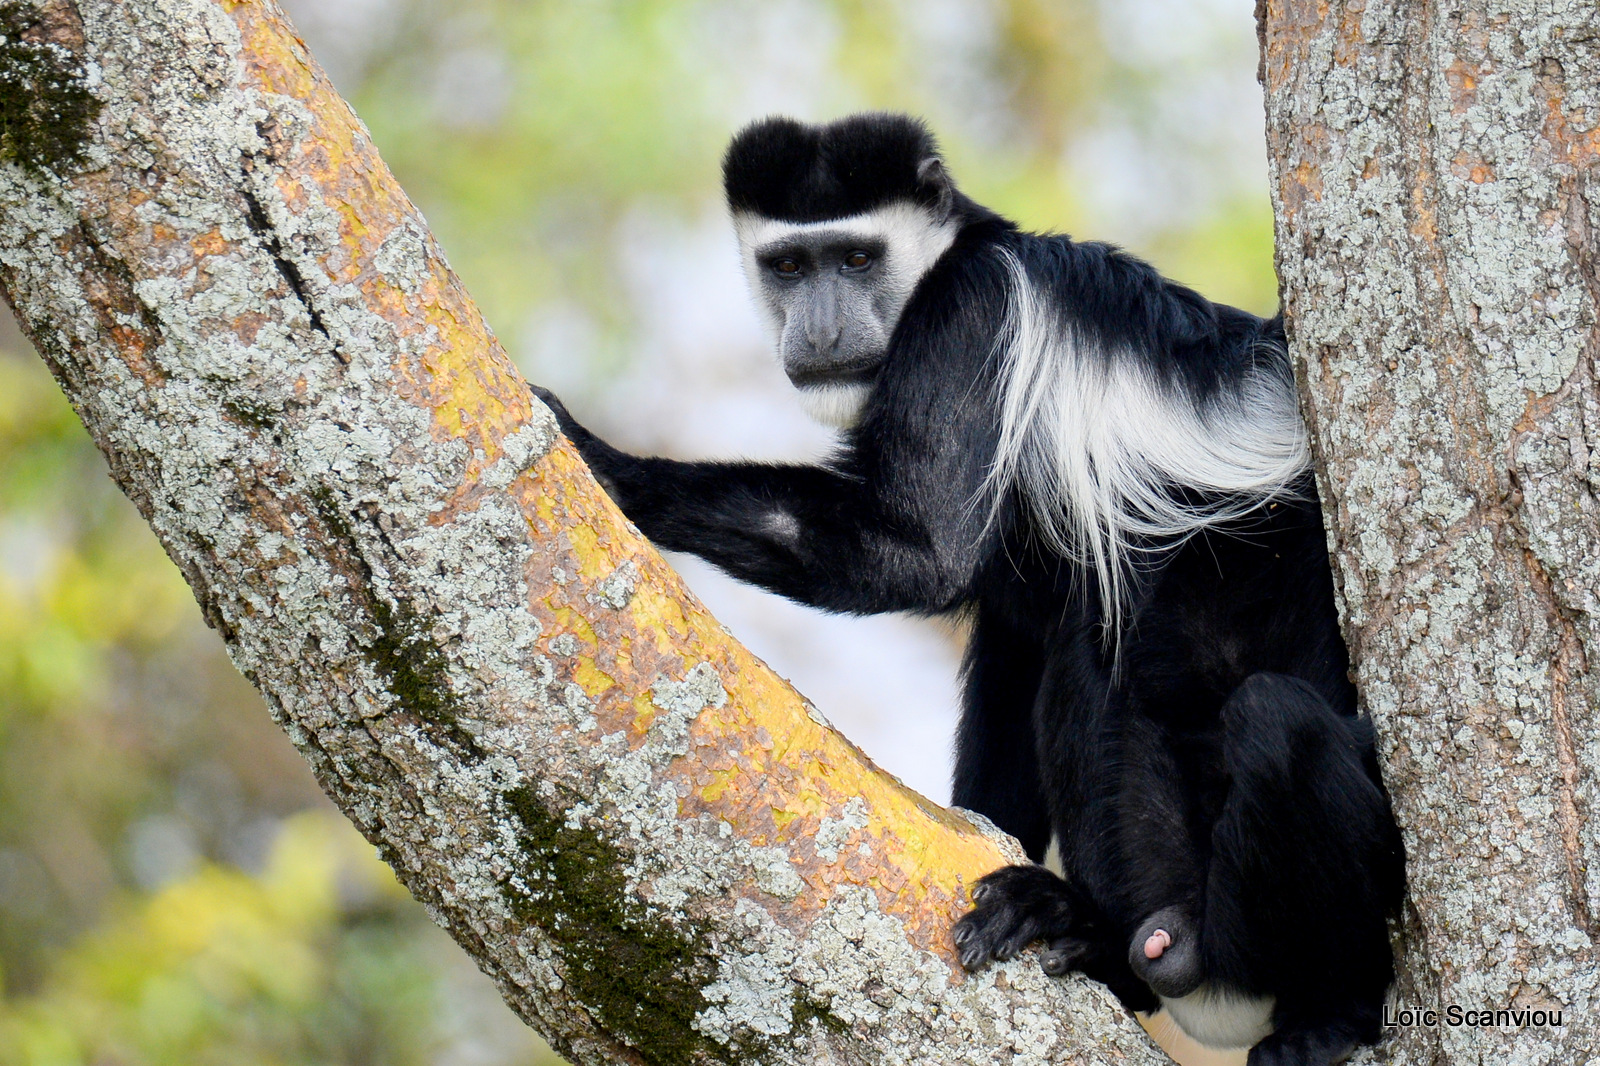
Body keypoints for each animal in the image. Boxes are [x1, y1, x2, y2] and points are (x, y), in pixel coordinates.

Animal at [534, 114, 1401, 1062]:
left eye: (857, 259)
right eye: (790, 266)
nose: (821, 330)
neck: (946, 258)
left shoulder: (971, 322)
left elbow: (915, 553)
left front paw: (608, 463)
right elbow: (1009, 660)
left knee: (1202, 693)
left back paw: (1293, 1001)